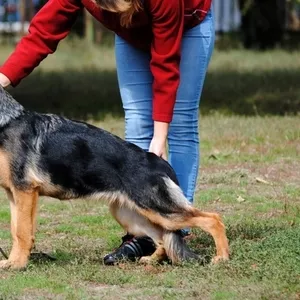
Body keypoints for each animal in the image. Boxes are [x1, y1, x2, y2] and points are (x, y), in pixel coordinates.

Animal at [0, 85, 229, 270]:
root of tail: (158, 162)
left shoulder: (25, 191)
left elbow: (22, 232)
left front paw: (18, 265)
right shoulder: (14, 195)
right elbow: (14, 230)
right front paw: (12, 261)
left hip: (161, 211)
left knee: (213, 219)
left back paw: (222, 258)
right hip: (133, 215)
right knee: (162, 238)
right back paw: (151, 260)